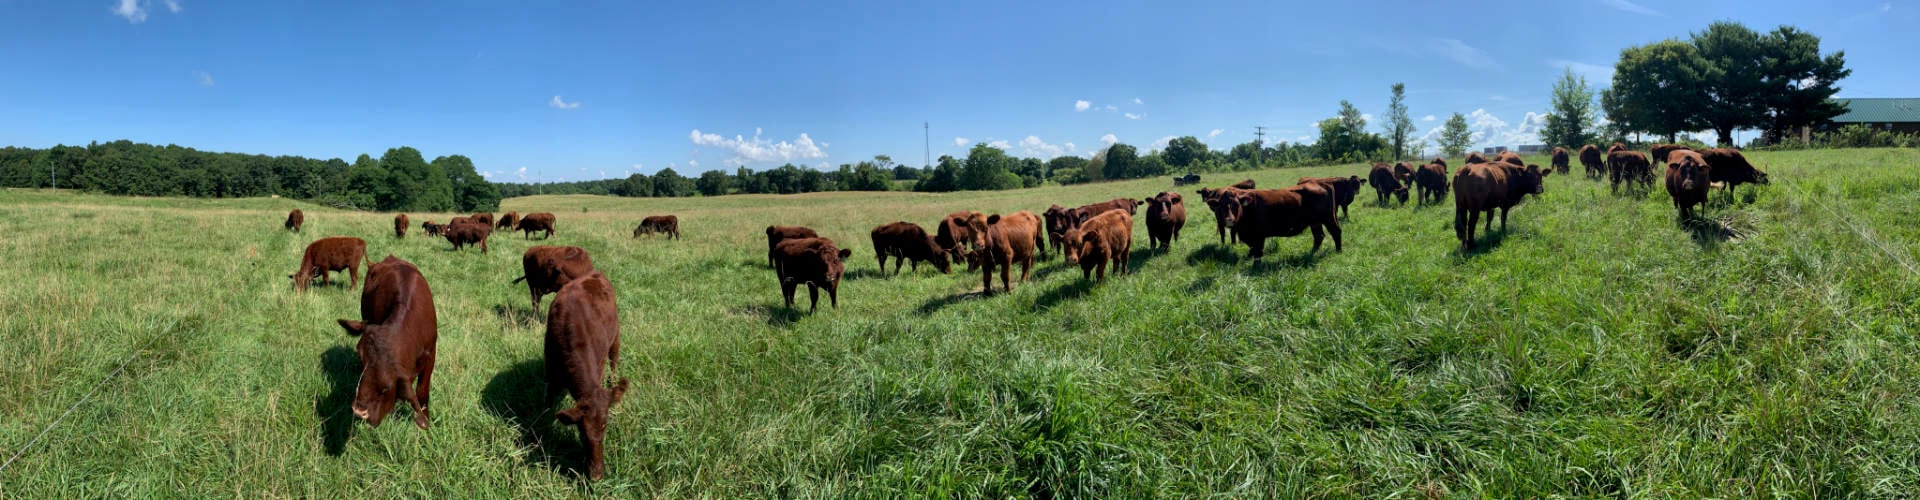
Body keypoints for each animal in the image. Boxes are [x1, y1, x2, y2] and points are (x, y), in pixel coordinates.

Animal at [335, 256, 437, 430]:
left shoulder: (431, 355)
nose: (359, 411)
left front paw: (425, 419)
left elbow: (422, 391)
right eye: (361, 358)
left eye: (386, 388)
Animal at [542, 271, 629, 480]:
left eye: (605, 428)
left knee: (614, 360)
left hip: (616, 336)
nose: (596, 475)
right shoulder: (550, 370)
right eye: (581, 433)